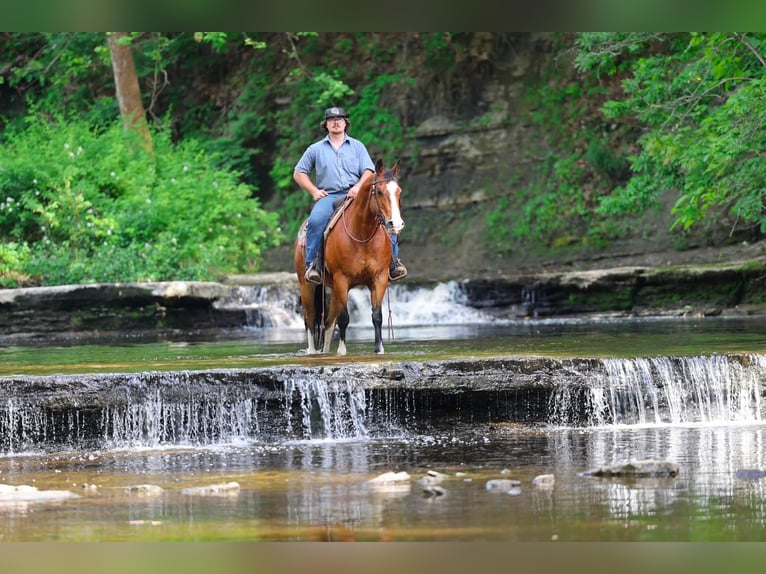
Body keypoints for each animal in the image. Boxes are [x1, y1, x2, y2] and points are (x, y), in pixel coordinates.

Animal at [293, 159, 404, 355]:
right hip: (307, 286)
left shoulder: (379, 278)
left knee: (328, 321)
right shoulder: (341, 279)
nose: (395, 224)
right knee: (311, 319)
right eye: (379, 191)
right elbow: (344, 318)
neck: (362, 234)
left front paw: (379, 348)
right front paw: (342, 351)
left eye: (399, 191)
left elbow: (377, 315)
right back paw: (313, 351)